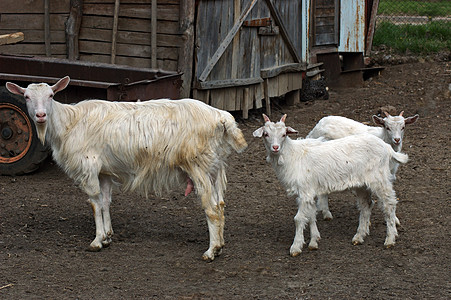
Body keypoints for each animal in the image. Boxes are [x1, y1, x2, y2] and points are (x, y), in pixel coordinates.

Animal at [6, 77, 247, 260]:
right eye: (27, 97)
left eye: (51, 95)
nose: (40, 116)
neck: (69, 123)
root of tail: (222, 118)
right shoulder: (103, 171)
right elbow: (104, 202)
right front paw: (107, 236)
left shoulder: (88, 166)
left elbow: (94, 204)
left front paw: (96, 241)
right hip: (215, 167)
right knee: (221, 205)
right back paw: (220, 245)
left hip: (198, 166)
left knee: (212, 209)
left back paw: (210, 251)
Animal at [254, 114, 410, 255]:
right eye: (266, 134)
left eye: (284, 134)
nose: (275, 147)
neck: (293, 156)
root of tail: (386, 146)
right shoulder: (308, 192)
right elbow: (311, 215)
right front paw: (314, 241)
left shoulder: (305, 191)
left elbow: (298, 219)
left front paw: (296, 247)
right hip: (362, 184)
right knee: (366, 205)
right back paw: (359, 236)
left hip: (379, 179)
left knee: (389, 204)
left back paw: (390, 239)